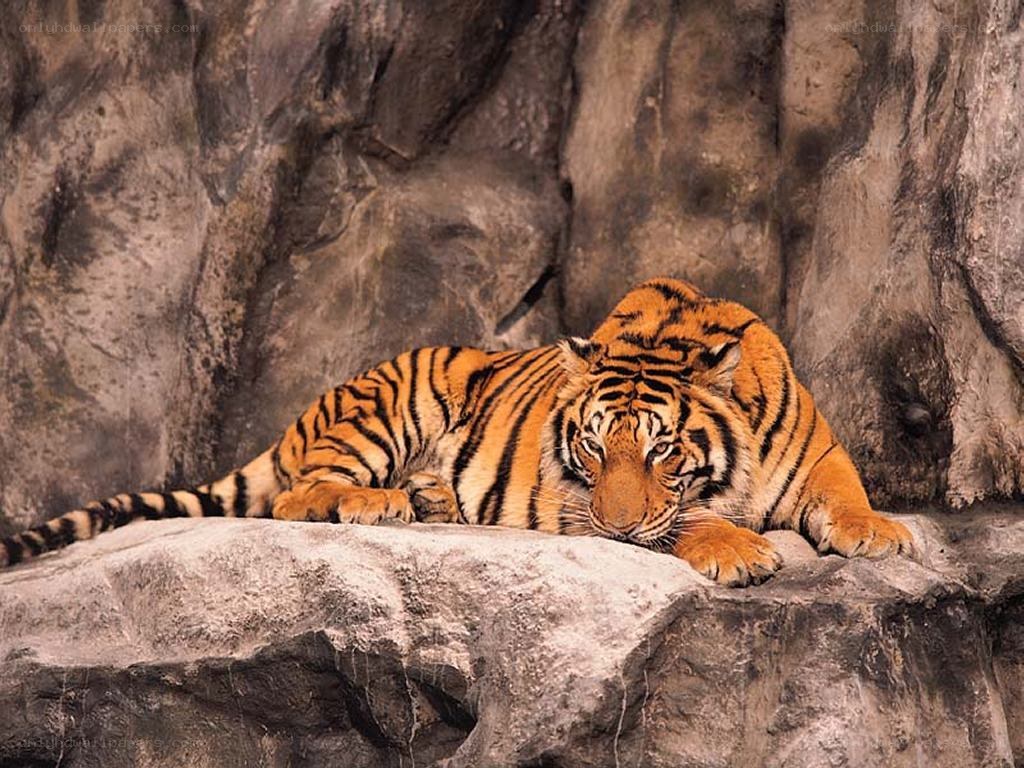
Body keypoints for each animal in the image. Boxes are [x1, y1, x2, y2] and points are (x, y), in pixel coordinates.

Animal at [0, 277, 912, 586]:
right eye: (592, 447)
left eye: (662, 447)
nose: (616, 527)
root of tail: (296, 420)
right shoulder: (583, 505)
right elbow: (681, 521)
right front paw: (735, 547)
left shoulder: (818, 451)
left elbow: (845, 489)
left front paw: (881, 533)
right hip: (395, 397)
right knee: (296, 493)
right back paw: (379, 504)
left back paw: (429, 500)